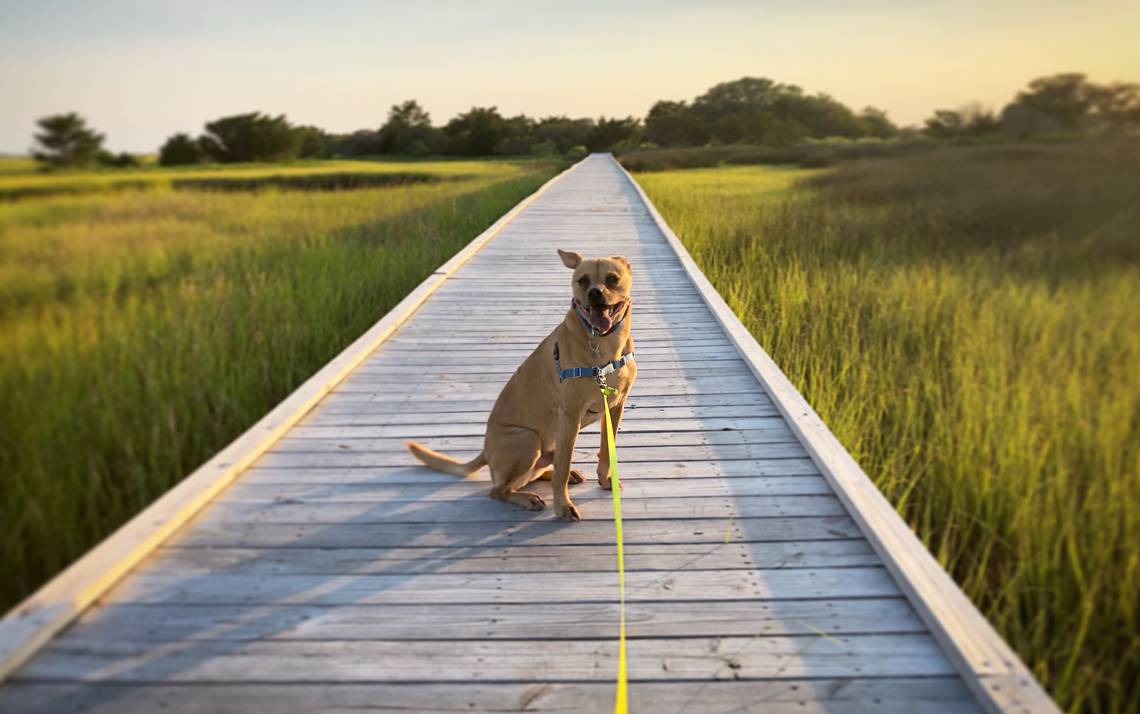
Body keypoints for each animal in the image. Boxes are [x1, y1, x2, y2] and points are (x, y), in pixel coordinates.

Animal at [408, 248, 642, 517]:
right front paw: (563, 506)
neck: (605, 344)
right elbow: (563, 468)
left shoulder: (615, 406)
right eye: (582, 281)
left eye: (612, 279)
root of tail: (486, 451)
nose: (594, 293)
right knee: (499, 489)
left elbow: (606, 451)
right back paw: (528, 498)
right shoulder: (570, 415)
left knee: (534, 474)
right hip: (527, 440)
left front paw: (606, 481)